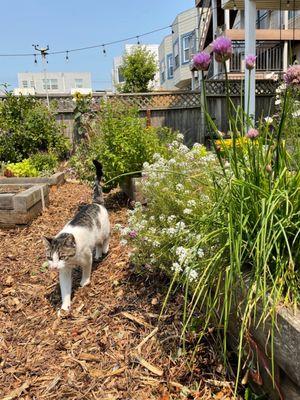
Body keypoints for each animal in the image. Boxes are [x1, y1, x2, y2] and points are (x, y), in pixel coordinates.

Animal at [43, 160, 110, 312]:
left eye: (61, 256)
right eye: (50, 258)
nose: (54, 267)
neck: (72, 260)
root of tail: (96, 203)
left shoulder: (86, 257)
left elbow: (87, 269)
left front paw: (85, 281)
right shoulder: (64, 271)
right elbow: (65, 289)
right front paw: (65, 306)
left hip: (104, 231)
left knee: (105, 239)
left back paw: (105, 249)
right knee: (97, 245)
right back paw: (98, 254)